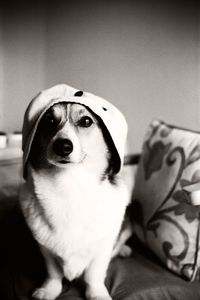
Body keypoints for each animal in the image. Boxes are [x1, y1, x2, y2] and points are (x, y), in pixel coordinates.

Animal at [19, 84, 130, 300]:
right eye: (49, 121)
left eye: (86, 121)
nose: (62, 146)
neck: (69, 184)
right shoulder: (46, 250)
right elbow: (53, 272)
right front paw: (48, 290)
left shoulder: (102, 250)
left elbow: (94, 276)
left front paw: (97, 294)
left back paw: (124, 250)